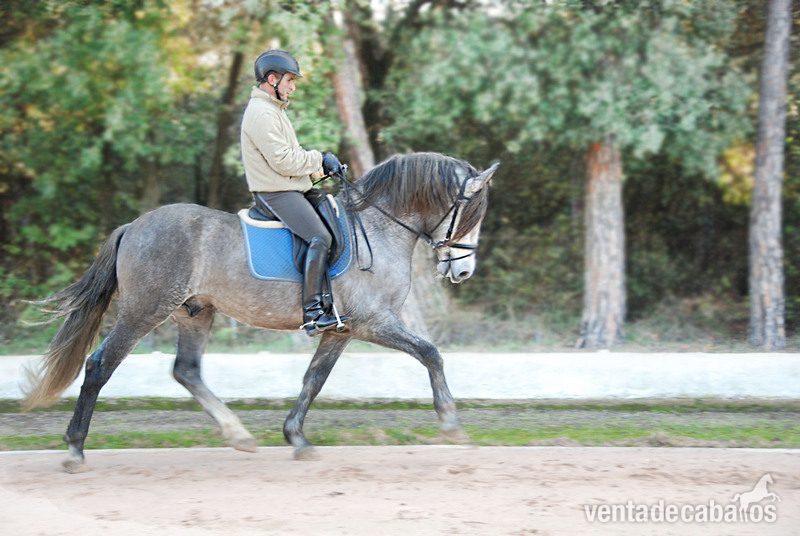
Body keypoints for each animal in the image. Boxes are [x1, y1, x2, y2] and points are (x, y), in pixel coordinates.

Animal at [22, 152, 498, 473]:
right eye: (470, 214)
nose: (463, 270)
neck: (379, 228)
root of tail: (133, 226)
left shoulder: (341, 330)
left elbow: (314, 379)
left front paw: (296, 437)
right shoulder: (374, 322)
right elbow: (431, 353)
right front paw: (452, 424)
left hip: (194, 313)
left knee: (186, 370)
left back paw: (239, 435)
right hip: (144, 310)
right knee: (100, 365)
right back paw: (75, 448)